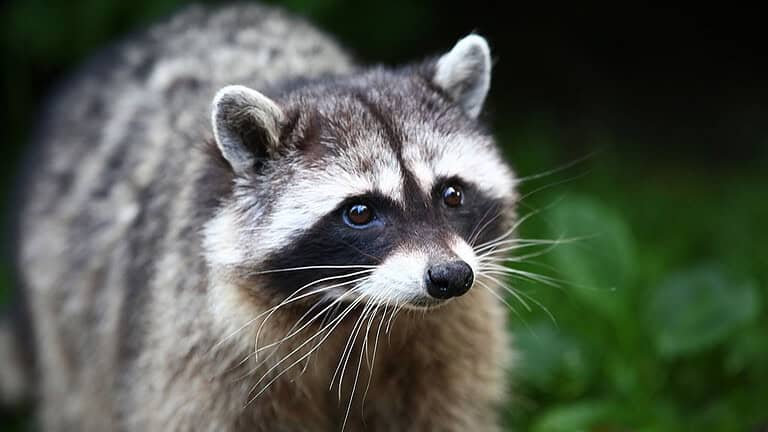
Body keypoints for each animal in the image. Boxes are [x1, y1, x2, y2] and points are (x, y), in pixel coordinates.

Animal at [3, 3, 519, 431]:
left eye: (452, 194)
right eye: (359, 212)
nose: (451, 277)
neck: (361, 312)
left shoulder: (452, 341)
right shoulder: (198, 346)